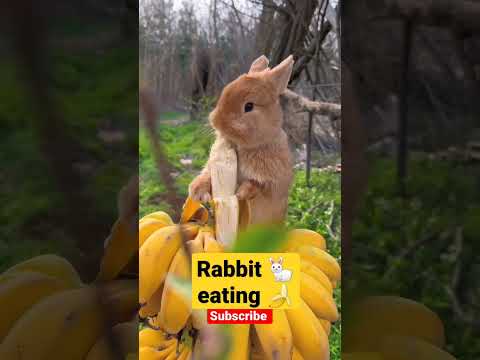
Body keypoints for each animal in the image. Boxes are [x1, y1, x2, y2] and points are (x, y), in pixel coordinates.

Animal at [188, 54, 294, 224]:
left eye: (249, 106)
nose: (217, 122)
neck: (241, 147)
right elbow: (206, 175)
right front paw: (197, 192)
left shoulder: (274, 182)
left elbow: (258, 185)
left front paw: (241, 192)